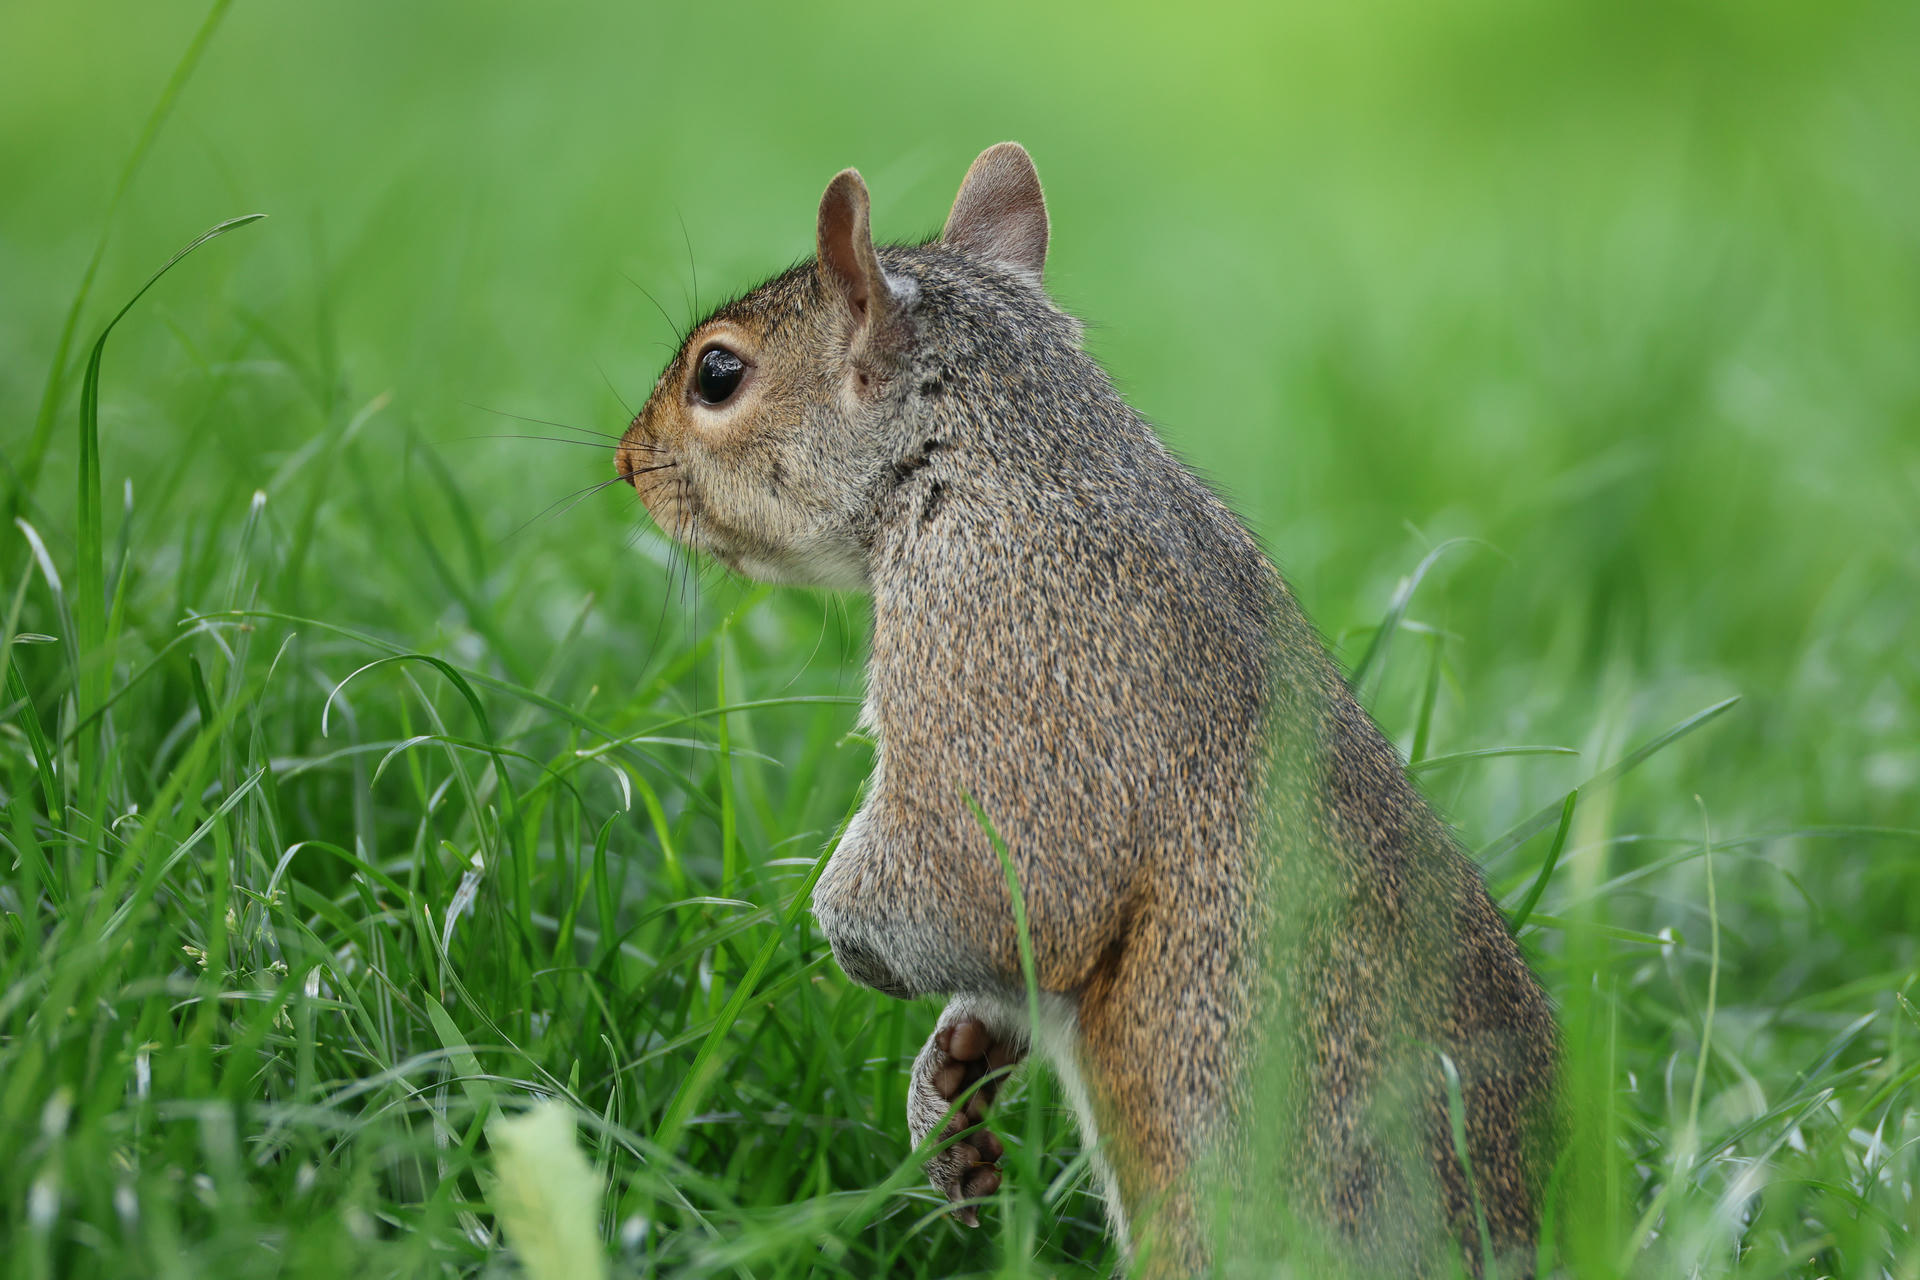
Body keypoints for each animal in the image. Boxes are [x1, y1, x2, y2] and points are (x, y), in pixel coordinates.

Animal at [614, 143, 1559, 1277]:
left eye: (719, 373)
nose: (624, 462)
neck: (1008, 457)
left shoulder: (1004, 652)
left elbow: (1006, 887)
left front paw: (861, 947)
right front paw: (955, 1073)